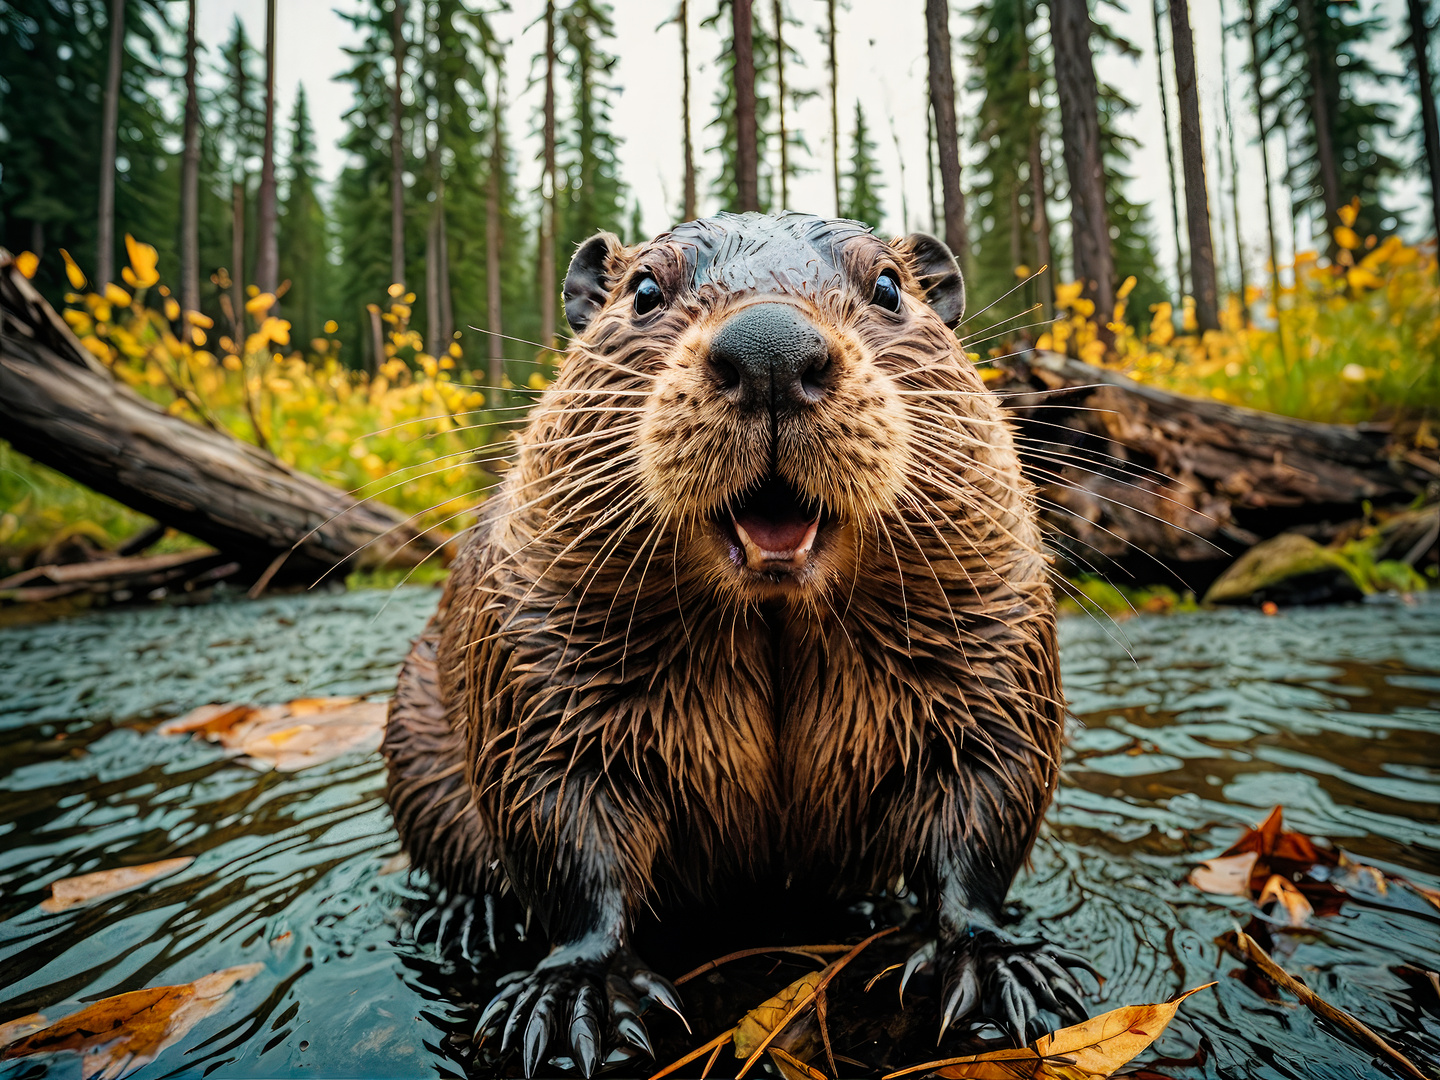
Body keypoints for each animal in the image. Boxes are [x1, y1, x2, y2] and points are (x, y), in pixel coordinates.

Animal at [383, 208, 1088, 1077]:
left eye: (889, 286)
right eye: (644, 290)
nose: (770, 352)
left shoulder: (991, 624)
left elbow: (989, 784)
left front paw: (1003, 972)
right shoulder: (537, 630)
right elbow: (556, 804)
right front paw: (569, 1002)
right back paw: (467, 920)